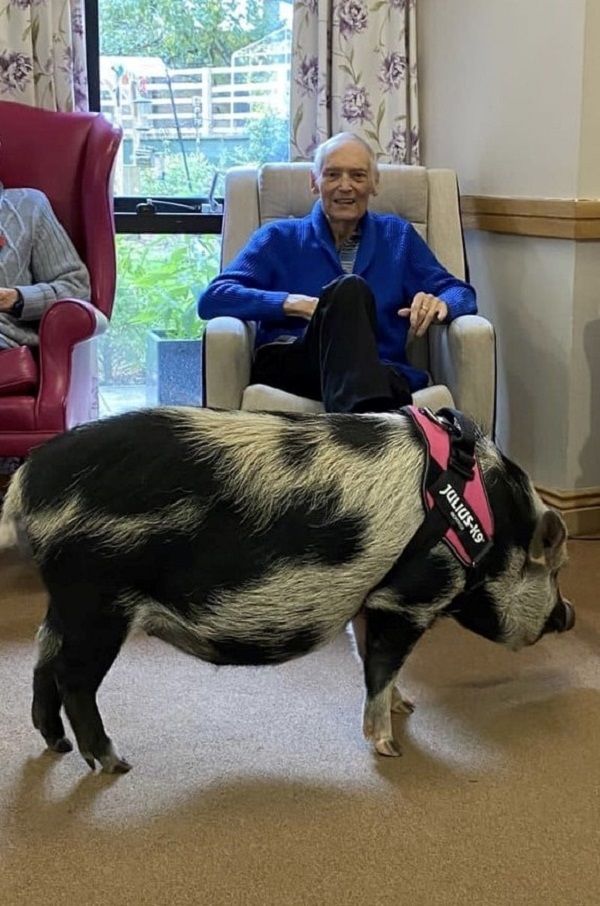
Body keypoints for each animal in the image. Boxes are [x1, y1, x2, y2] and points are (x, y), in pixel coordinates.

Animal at [0, 408, 572, 768]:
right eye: (554, 570)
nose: (567, 614)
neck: (485, 525)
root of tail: (26, 483)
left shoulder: (371, 599)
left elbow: (375, 661)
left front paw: (407, 708)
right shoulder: (409, 596)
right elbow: (383, 666)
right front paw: (390, 748)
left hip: (66, 602)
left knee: (42, 658)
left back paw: (57, 747)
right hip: (97, 598)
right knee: (73, 677)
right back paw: (114, 763)